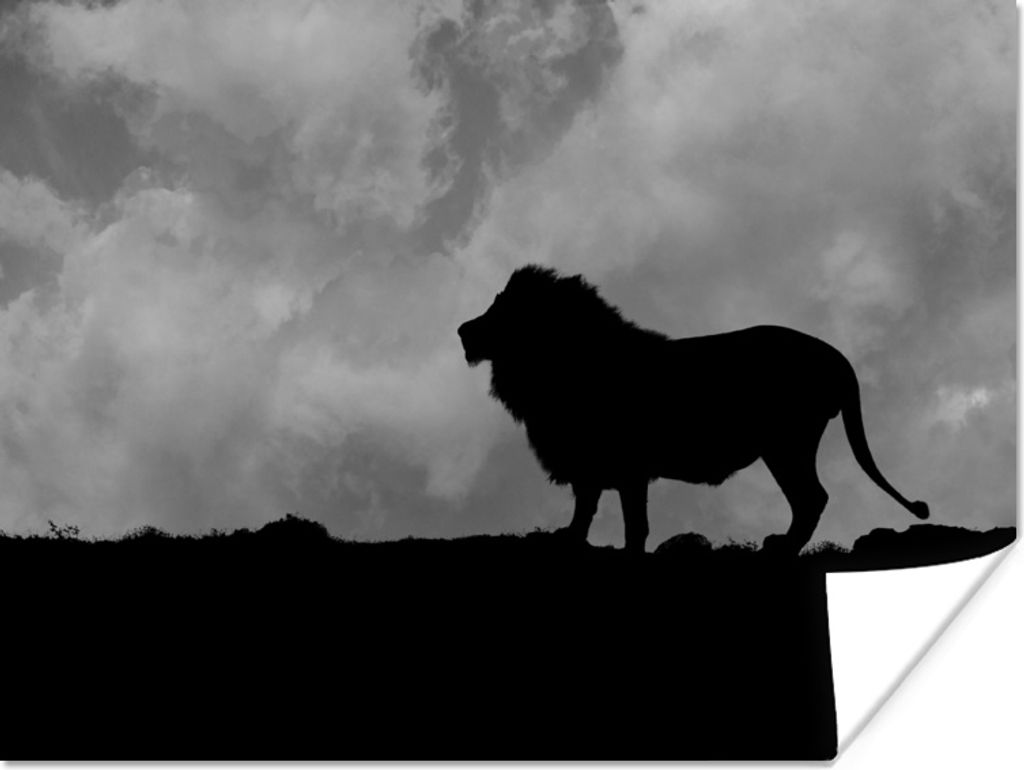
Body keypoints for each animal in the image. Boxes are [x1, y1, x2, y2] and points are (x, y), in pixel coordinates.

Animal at [457, 264, 929, 555]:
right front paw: (571, 539)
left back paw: (779, 548)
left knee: (812, 498)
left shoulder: (628, 467)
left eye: (503, 310)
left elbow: (634, 524)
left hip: (786, 442)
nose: (463, 330)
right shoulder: (591, 466)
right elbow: (586, 509)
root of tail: (836, 358)